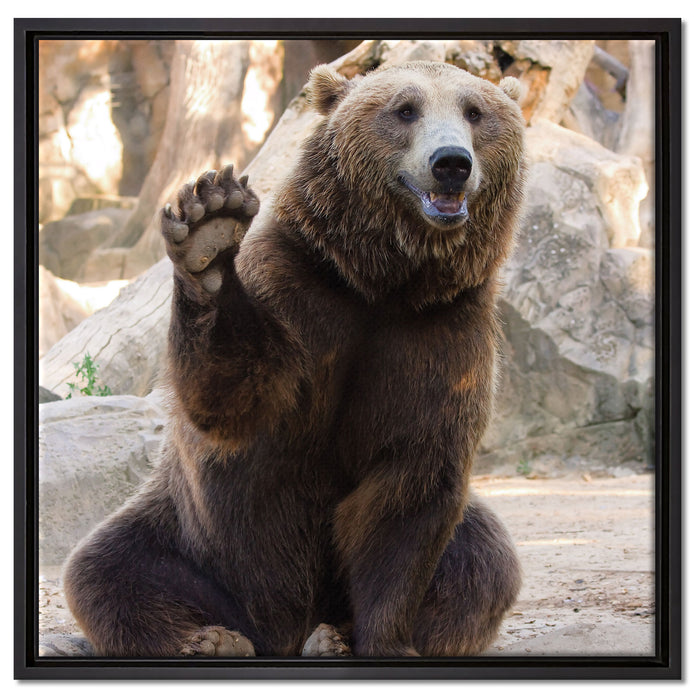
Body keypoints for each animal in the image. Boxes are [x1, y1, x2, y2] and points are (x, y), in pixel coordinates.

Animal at [63, 60, 526, 658]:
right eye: (405, 109)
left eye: (475, 111)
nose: (451, 163)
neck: (384, 283)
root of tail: (279, 630)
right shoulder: (298, 291)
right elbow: (234, 397)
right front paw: (210, 229)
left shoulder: (441, 335)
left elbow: (411, 489)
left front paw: (383, 640)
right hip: (192, 539)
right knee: (108, 569)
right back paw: (211, 638)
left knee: (484, 561)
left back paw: (330, 634)